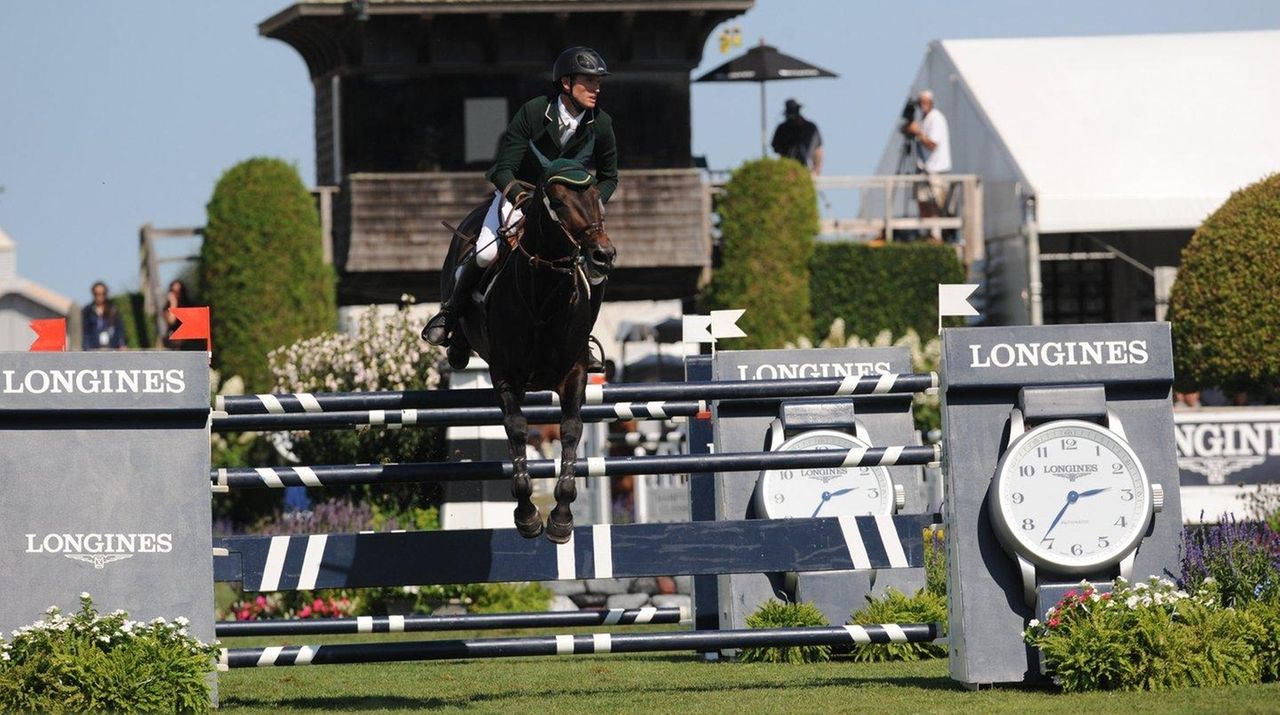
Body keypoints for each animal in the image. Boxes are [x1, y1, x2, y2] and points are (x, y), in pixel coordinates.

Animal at [437, 167, 615, 543]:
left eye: (597, 198)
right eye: (558, 202)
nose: (602, 255)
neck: (543, 296)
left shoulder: (574, 373)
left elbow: (571, 430)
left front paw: (561, 518)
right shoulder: (506, 373)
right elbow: (517, 428)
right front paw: (527, 516)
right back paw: (450, 339)